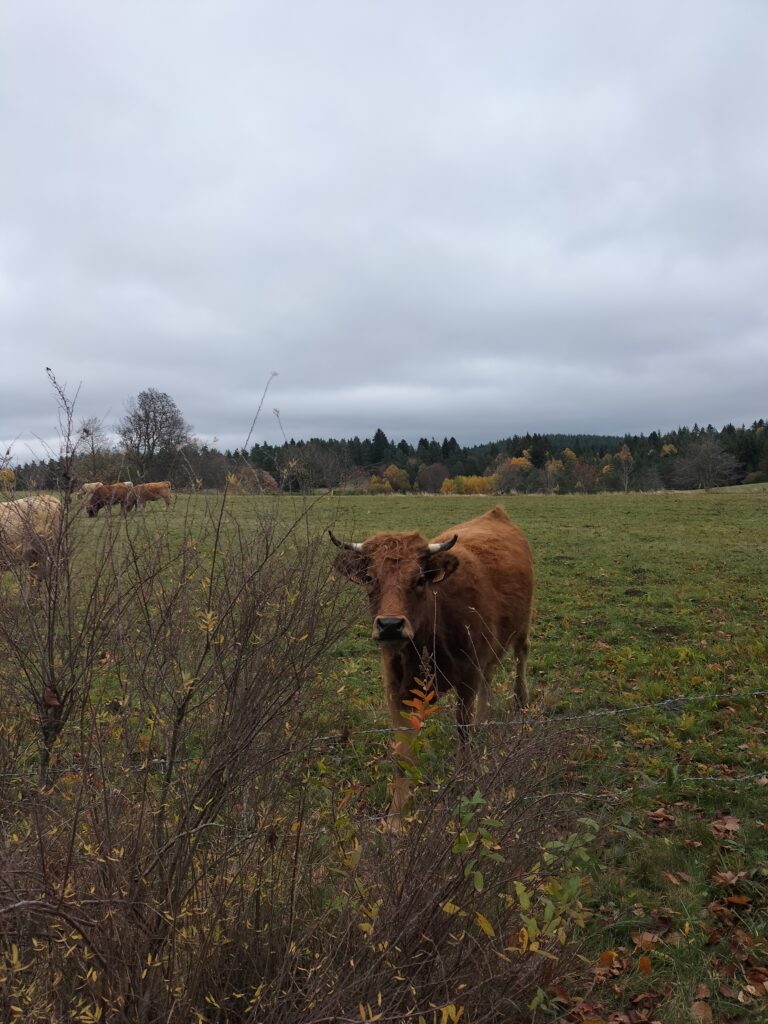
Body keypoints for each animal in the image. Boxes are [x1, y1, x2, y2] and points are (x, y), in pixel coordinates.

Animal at [330, 505, 533, 829]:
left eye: (419, 579)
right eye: (370, 578)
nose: (390, 625)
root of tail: (497, 513)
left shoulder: (467, 676)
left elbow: (463, 730)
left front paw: (466, 779)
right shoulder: (396, 689)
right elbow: (402, 753)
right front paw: (396, 818)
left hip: (522, 626)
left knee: (519, 660)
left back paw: (521, 704)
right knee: (489, 680)